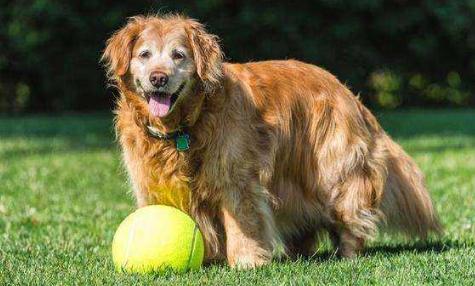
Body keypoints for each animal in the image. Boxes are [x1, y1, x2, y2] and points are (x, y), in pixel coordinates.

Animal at [102, 14, 444, 270]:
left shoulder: (236, 176)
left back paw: (347, 253)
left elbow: (240, 219)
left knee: (350, 212)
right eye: (144, 55)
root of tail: (346, 91)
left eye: (178, 56)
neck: (184, 126)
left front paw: (246, 261)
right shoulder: (154, 184)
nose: (158, 78)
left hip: (332, 170)